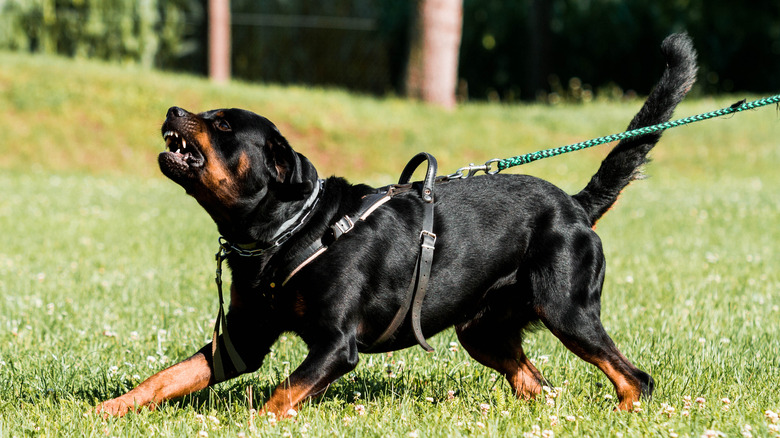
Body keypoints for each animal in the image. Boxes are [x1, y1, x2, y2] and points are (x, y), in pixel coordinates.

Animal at [94, 33, 696, 418]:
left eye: (220, 125)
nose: (173, 110)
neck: (288, 233)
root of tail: (575, 205)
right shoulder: (240, 341)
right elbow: (166, 378)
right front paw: (107, 409)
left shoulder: (336, 345)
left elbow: (279, 396)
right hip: (484, 331)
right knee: (541, 387)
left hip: (567, 309)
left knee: (634, 377)